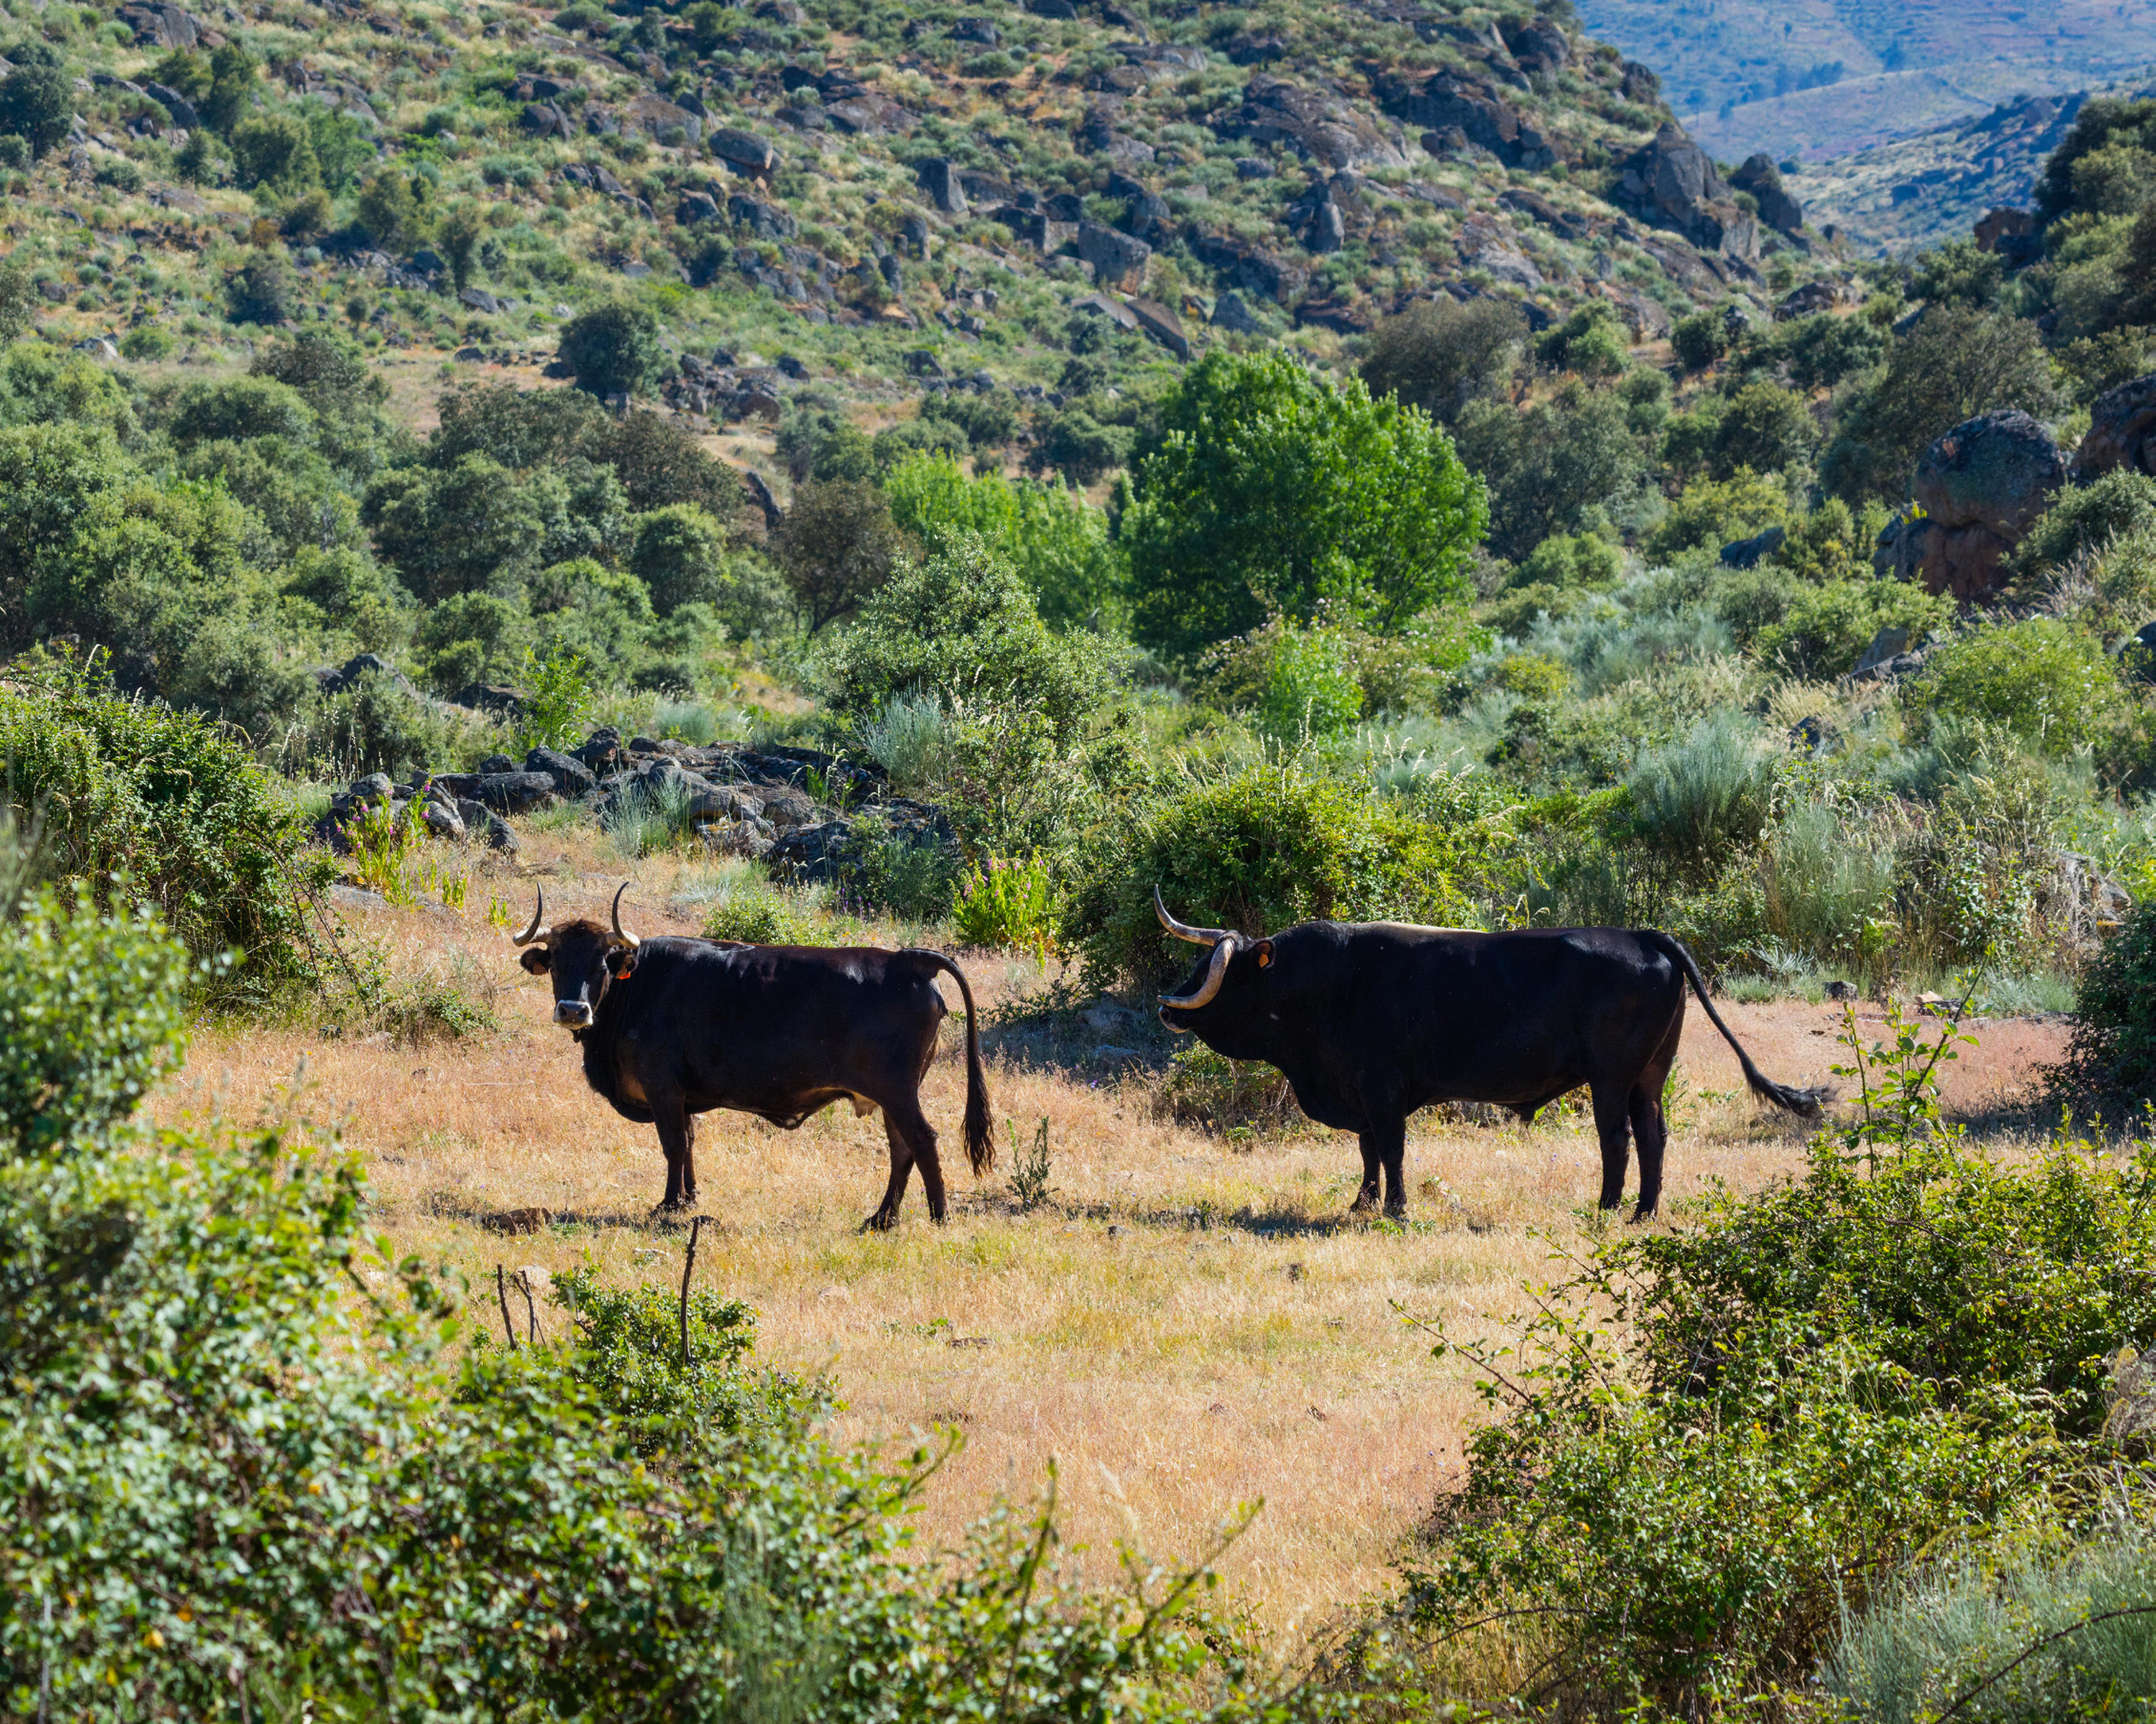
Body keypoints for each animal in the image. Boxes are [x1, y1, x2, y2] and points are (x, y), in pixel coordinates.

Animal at [513, 885, 993, 1229]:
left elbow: (673, 1144)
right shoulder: (682, 1096)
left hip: (897, 1092)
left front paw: (667, 1204)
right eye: (555, 962)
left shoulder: (662, 1088)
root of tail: (908, 960)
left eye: (601, 964)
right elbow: (689, 1142)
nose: (573, 1010)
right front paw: (689, 1198)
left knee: (921, 1141)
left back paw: (937, 1216)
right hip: (891, 1096)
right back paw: (881, 1218)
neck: (637, 987)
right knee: (901, 1148)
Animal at [1150, 890, 1826, 1220]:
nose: (1167, 1005)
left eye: (1223, 971)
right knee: (1654, 1136)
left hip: (1611, 1079)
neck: (1328, 984)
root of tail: (1642, 934)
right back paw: (1643, 1213)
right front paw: (1361, 1203)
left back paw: (1607, 1209)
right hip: (1649, 1078)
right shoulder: (1360, 1093)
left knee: (1618, 1139)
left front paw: (1395, 1210)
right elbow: (1367, 1151)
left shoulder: (1381, 1089)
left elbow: (1390, 1150)